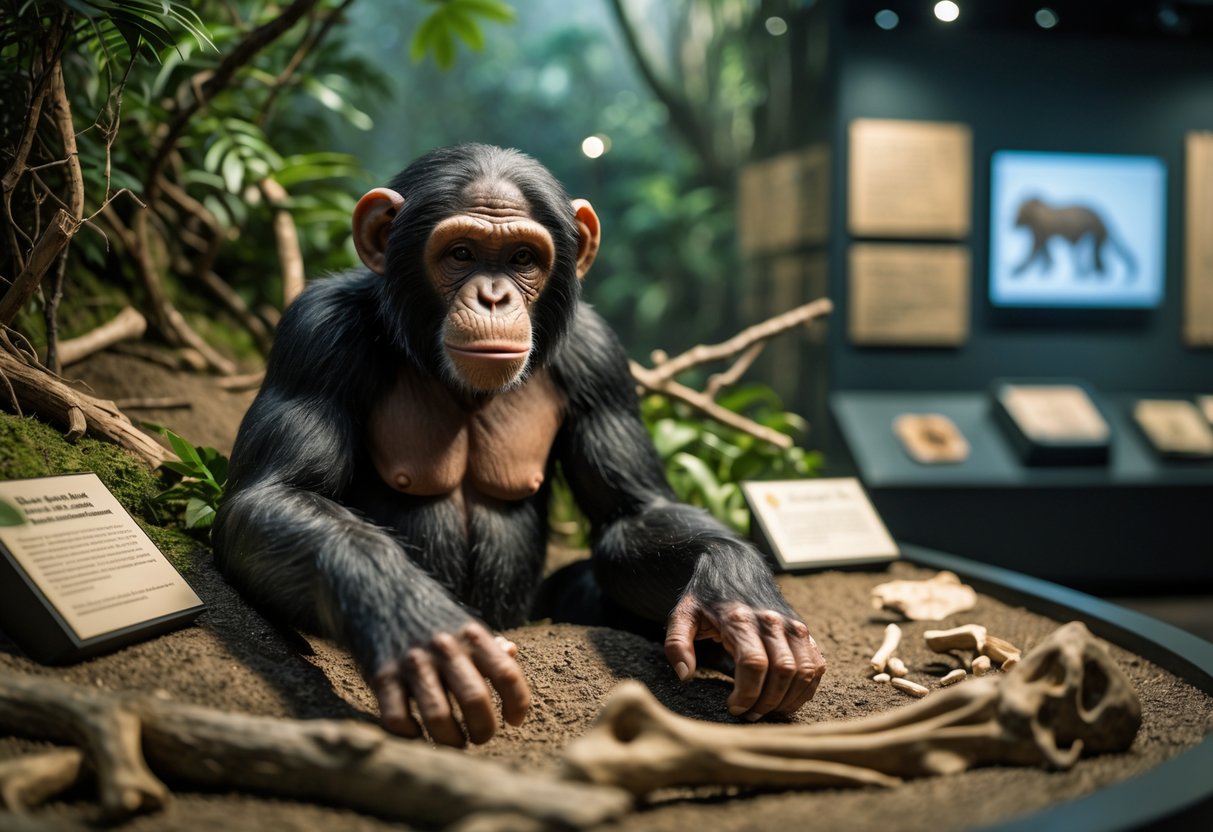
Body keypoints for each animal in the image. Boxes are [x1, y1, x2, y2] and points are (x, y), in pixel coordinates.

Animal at [212, 144, 826, 748]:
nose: (493, 296)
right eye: (461, 253)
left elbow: (633, 511)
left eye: (522, 259)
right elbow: (275, 493)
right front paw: (414, 622)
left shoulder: (600, 359)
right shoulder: (317, 334)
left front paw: (734, 589)